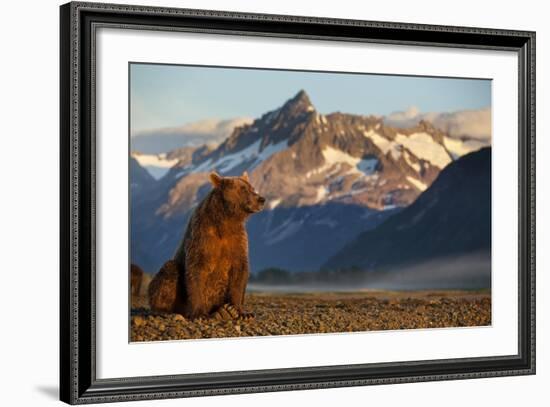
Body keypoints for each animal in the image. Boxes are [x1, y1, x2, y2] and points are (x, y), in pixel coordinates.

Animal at [148, 171, 266, 320]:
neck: (226, 219)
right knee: (169, 272)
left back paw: (224, 312)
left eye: (252, 188)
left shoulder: (237, 240)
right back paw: (164, 311)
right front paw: (199, 314)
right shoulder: (203, 237)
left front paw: (240, 311)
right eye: (243, 189)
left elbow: (240, 271)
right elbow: (196, 270)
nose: (261, 199)